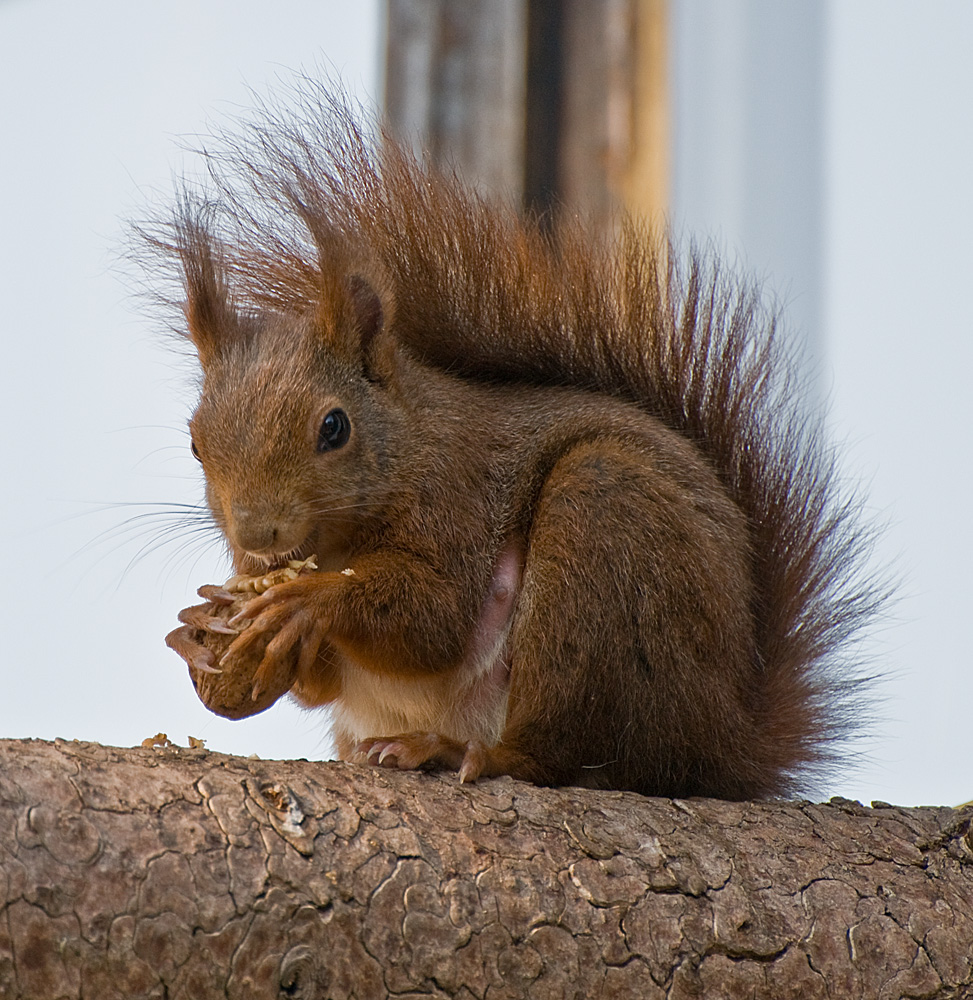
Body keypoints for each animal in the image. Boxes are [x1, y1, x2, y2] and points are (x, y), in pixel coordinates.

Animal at [152, 88, 880, 804]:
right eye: (193, 444)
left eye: (334, 427)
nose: (257, 534)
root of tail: (727, 738)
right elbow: (317, 683)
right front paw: (200, 631)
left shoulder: (458, 497)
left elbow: (435, 621)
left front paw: (310, 602)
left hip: (600, 531)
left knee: (553, 752)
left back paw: (460, 751)